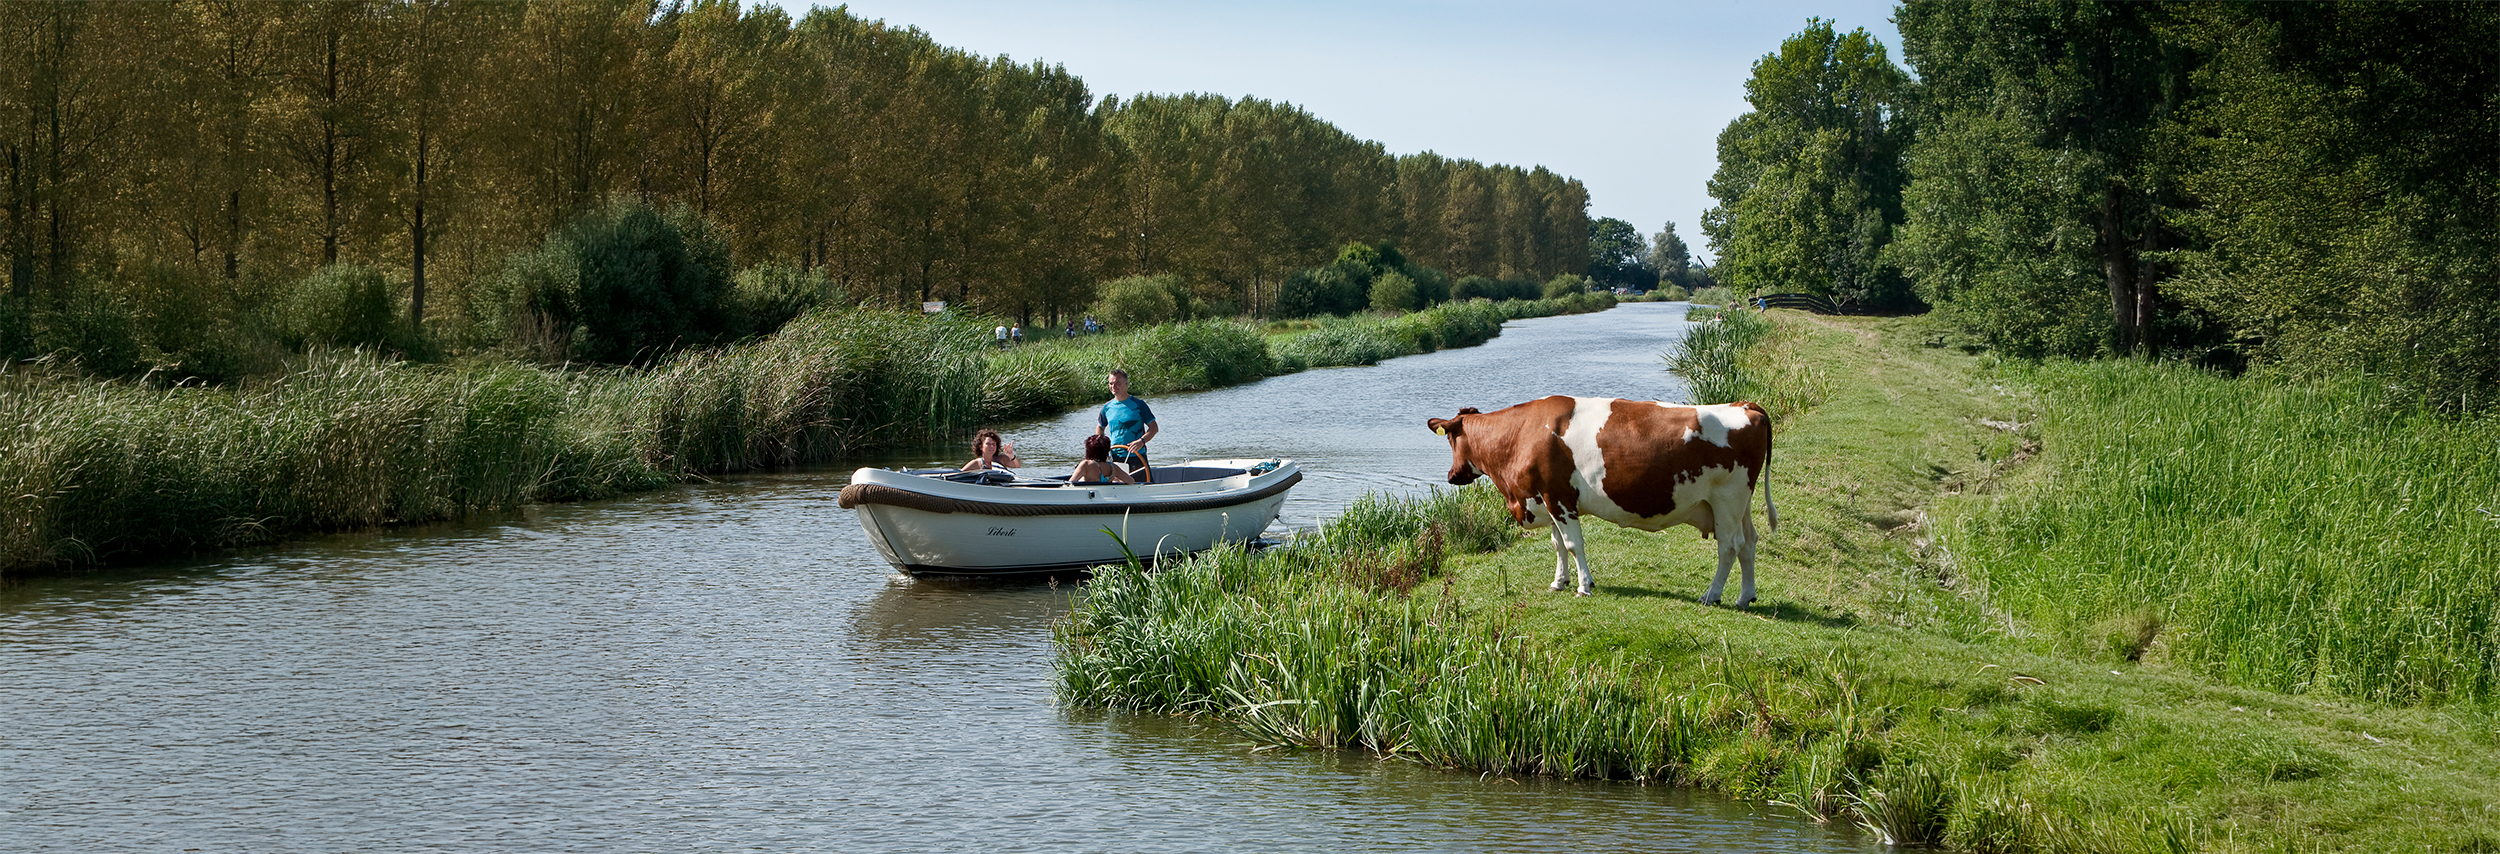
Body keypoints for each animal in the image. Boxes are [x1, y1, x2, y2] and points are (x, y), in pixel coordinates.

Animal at [1427, 396, 1776, 604]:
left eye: (1451, 438)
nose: (1452, 476)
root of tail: (1746, 406)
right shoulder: (1548, 499)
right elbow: (1557, 544)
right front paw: (1560, 581)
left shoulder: (1559, 498)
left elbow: (1573, 544)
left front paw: (1584, 586)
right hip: (1740, 504)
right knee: (1749, 543)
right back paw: (1746, 596)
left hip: (1728, 499)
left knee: (1729, 546)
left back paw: (1712, 594)